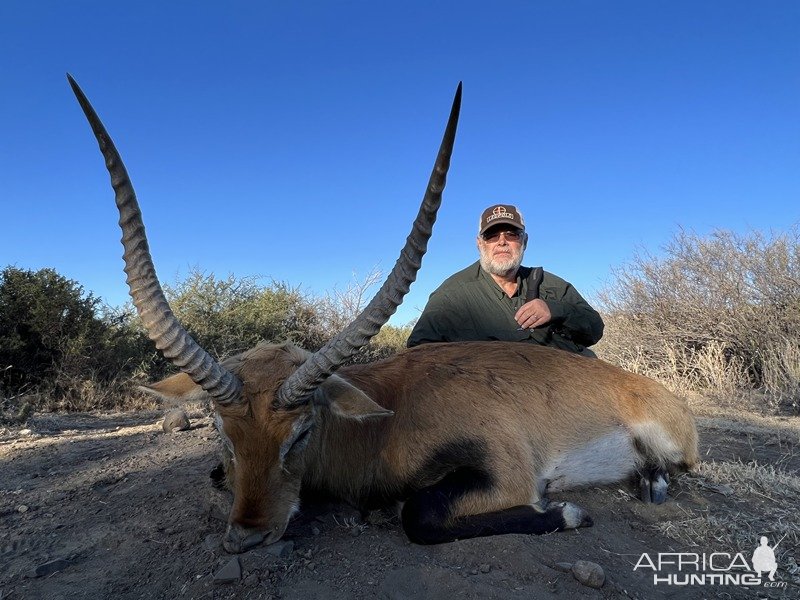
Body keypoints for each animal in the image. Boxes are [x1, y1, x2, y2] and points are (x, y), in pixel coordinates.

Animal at [69, 77, 696, 556]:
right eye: (222, 432)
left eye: (301, 432)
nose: (247, 537)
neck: (386, 418)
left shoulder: (507, 473)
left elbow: (416, 516)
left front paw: (567, 513)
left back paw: (651, 483)